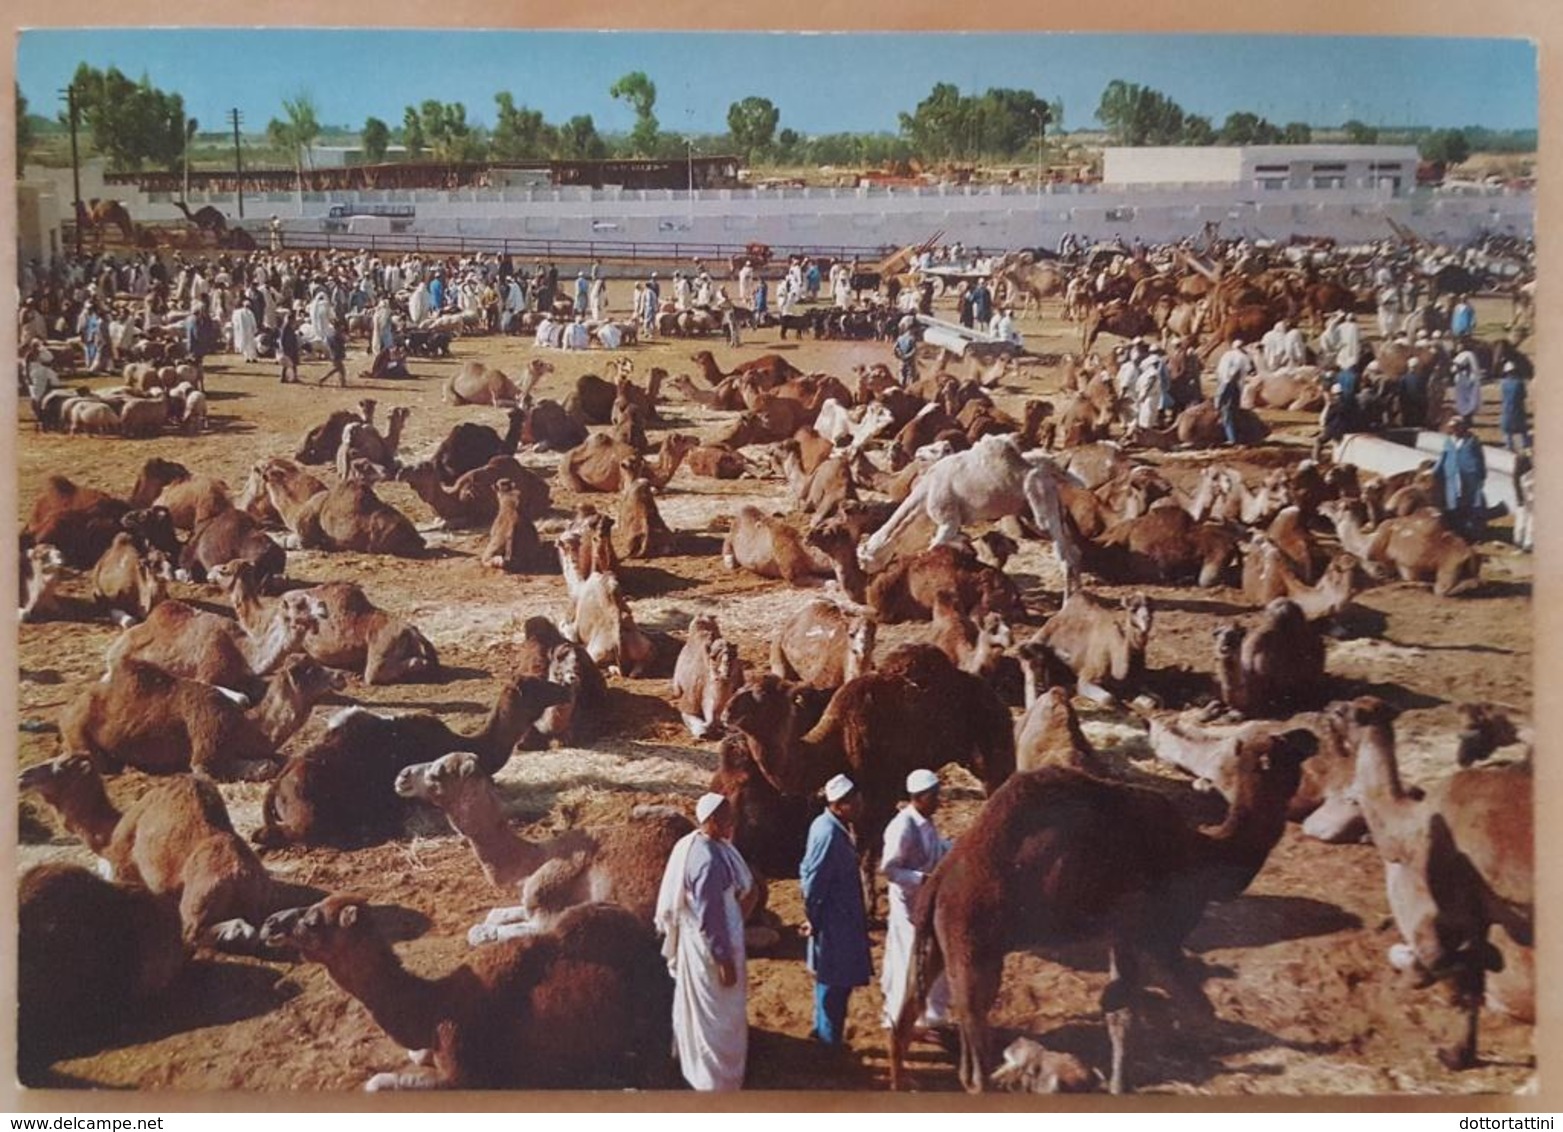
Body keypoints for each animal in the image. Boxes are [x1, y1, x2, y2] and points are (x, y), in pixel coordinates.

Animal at [257, 894, 672, 1088]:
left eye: (312, 921)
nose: (269, 924)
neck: (432, 1006)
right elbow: (415, 1055)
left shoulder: (466, 1072)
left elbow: (377, 1083)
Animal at [393, 747, 693, 944]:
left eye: (438, 773)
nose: (402, 776)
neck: (531, 860)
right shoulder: (529, 900)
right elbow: (495, 914)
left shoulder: (549, 912)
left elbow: (484, 932)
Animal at [894, 728, 1319, 1094]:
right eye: (1286, 748)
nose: (1310, 738)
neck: (1199, 852)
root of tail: (940, 878)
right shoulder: (1151, 932)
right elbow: (1155, 1009)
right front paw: (1122, 1084)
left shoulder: (1122, 935)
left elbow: (1125, 1009)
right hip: (973, 939)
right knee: (972, 1021)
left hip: (937, 938)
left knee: (911, 1007)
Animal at [1325, 694, 1531, 1075]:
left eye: (1343, 712)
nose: (1327, 707)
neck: (1409, 826)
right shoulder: (1478, 915)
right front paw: (1461, 1053)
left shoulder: (1445, 907)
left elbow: (1449, 971)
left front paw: (1453, 1054)